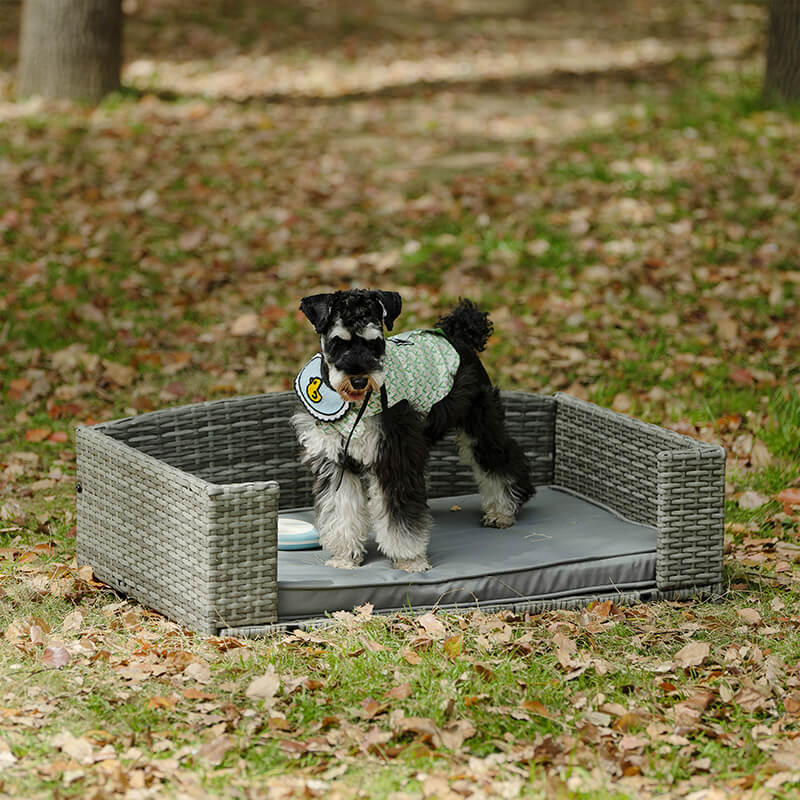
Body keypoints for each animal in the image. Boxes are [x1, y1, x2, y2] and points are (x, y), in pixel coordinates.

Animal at [290, 290, 536, 572]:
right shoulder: (335, 464)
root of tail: (457, 334)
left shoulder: (395, 458)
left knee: (501, 461)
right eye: (337, 342)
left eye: (376, 343)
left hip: (481, 425)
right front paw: (345, 556)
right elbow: (341, 511)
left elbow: (400, 517)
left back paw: (503, 511)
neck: (352, 405)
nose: (360, 380)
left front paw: (410, 559)